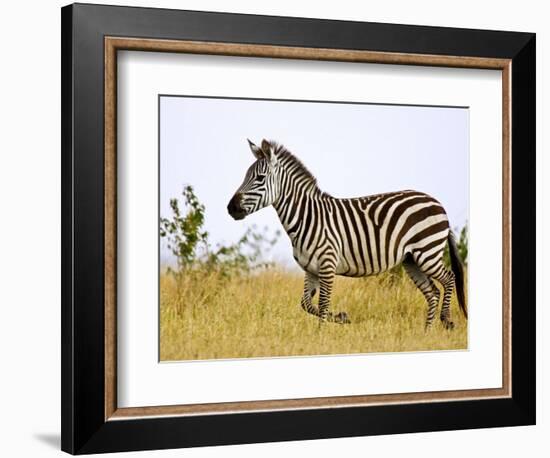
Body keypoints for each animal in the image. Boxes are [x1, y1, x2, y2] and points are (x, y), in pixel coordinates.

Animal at [226, 140, 468, 330]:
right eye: (246, 176)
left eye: (259, 178)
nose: (231, 208)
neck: (307, 216)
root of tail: (437, 202)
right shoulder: (310, 269)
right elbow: (306, 304)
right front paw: (342, 318)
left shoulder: (327, 264)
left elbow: (322, 303)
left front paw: (320, 336)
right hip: (412, 260)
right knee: (432, 292)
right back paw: (427, 332)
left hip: (427, 251)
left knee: (449, 278)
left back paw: (446, 320)